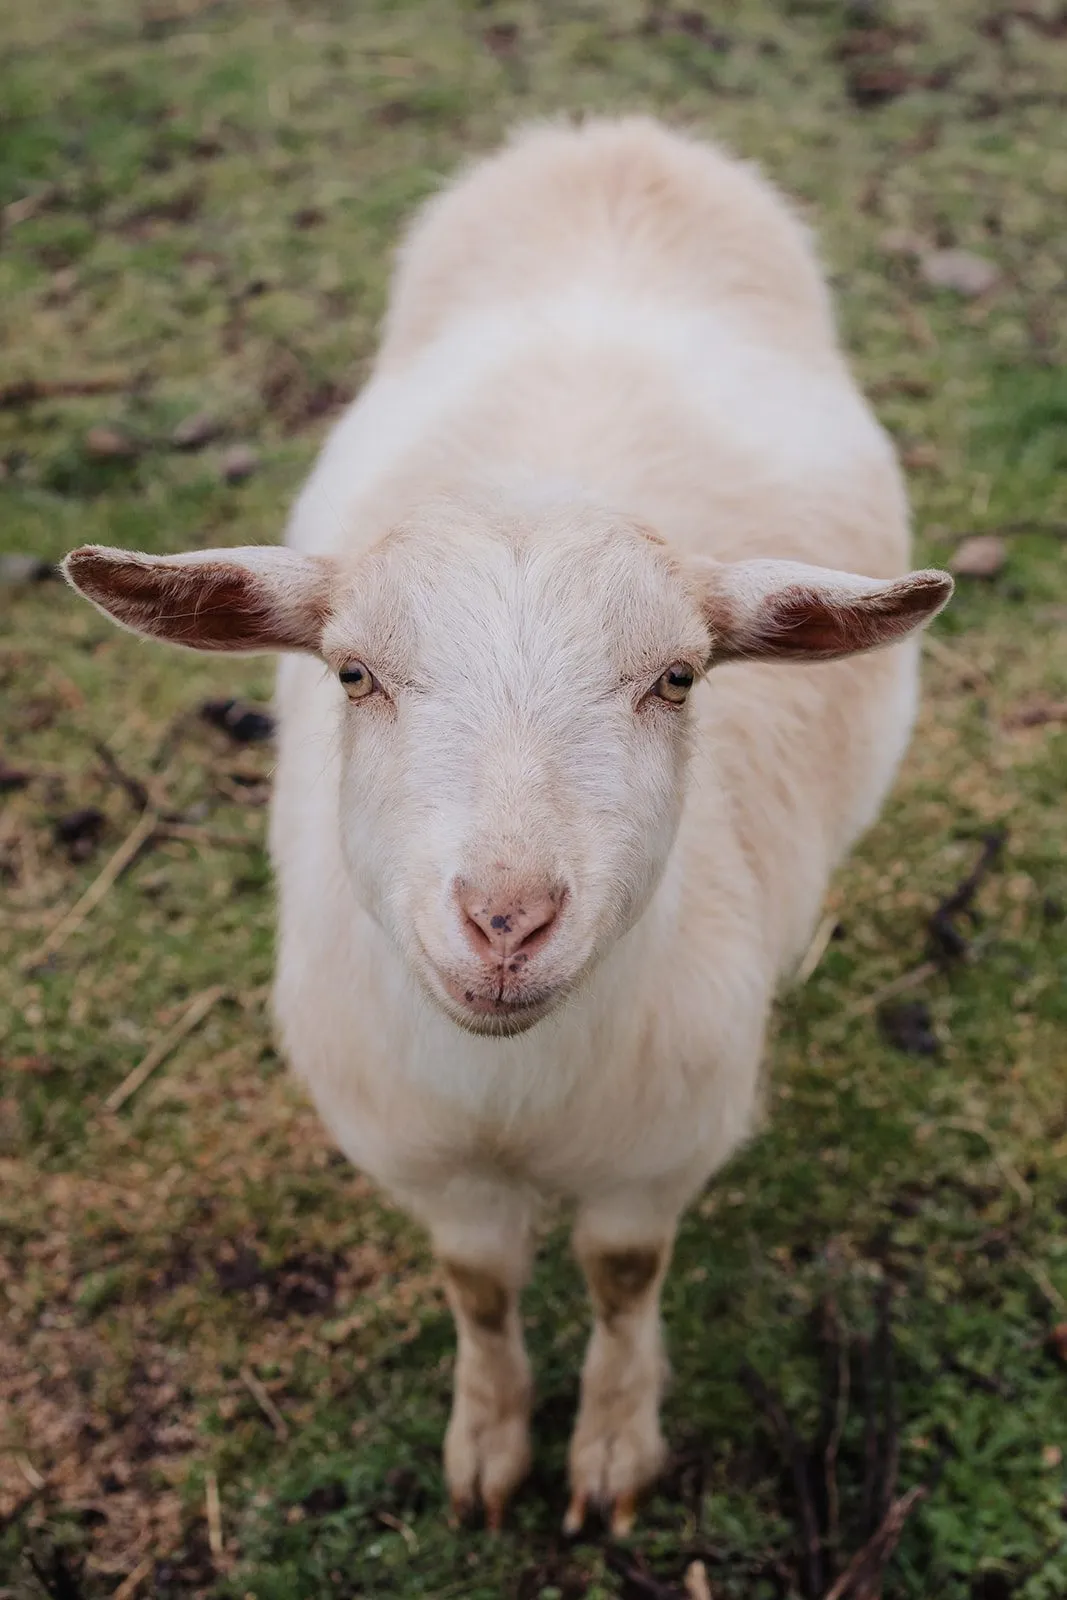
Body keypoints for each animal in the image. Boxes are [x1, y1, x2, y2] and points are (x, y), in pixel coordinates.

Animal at [63, 116, 952, 1535]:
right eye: (353, 674)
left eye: (677, 679)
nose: (504, 921)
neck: (515, 1085)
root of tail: (616, 137)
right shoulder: (426, 1159)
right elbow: (478, 1293)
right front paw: (485, 1451)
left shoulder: (656, 1150)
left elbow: (621, 1280)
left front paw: (610, 1450)